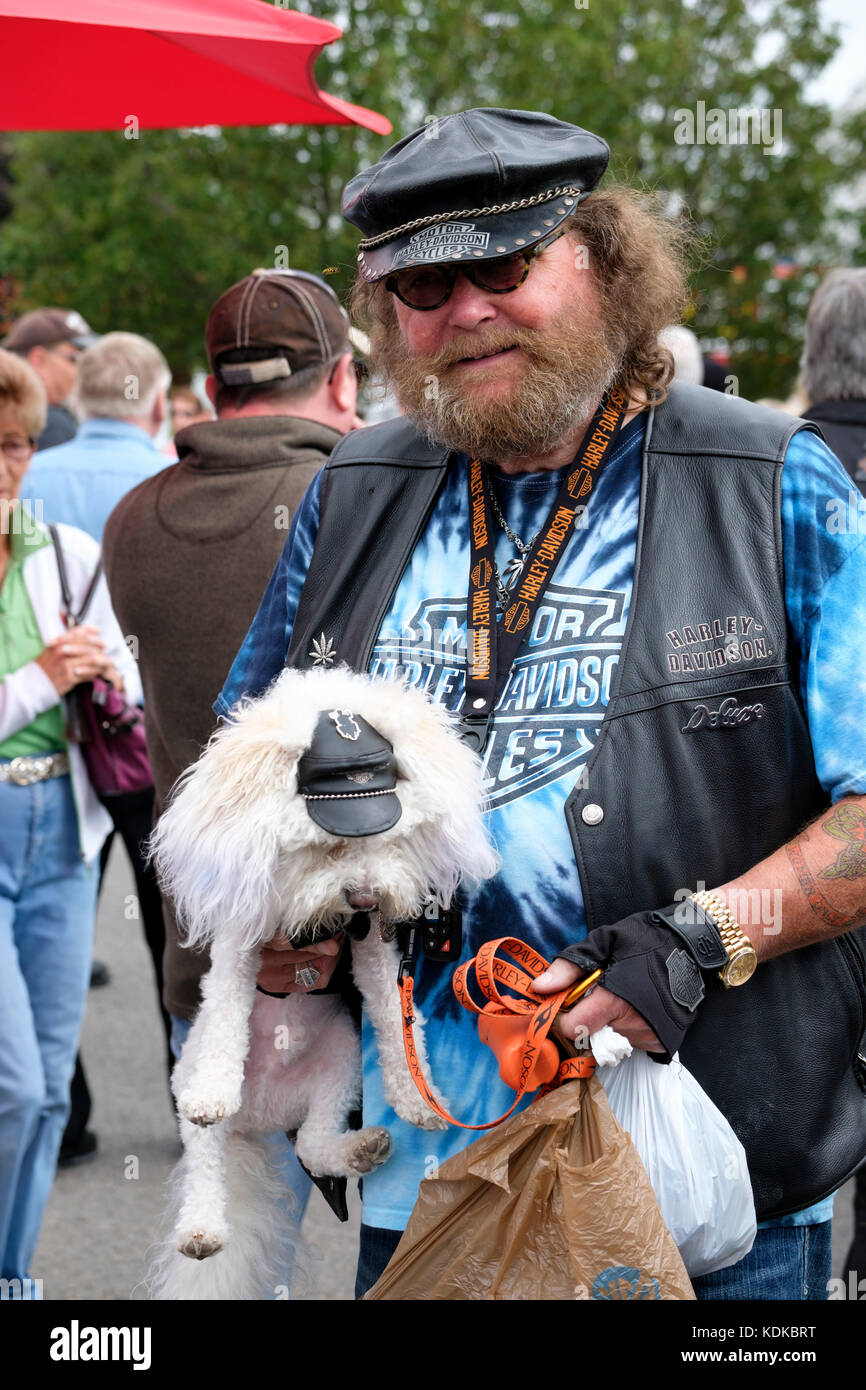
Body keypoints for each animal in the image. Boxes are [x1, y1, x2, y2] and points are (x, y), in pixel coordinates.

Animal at [148, 667, 497, 1295]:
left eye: (391, 838)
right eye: (328, 844)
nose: (366, 897)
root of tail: (262, 1119)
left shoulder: (372, 948)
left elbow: (395, 1017)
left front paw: (418, 1095)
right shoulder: (241, 945)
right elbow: (229, 1012)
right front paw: (216, 1087)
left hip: (337, 1072)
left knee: (312, 1146)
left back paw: (360, 1151)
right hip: (194, 1099)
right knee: (207, 1162)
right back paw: (202, 1229)